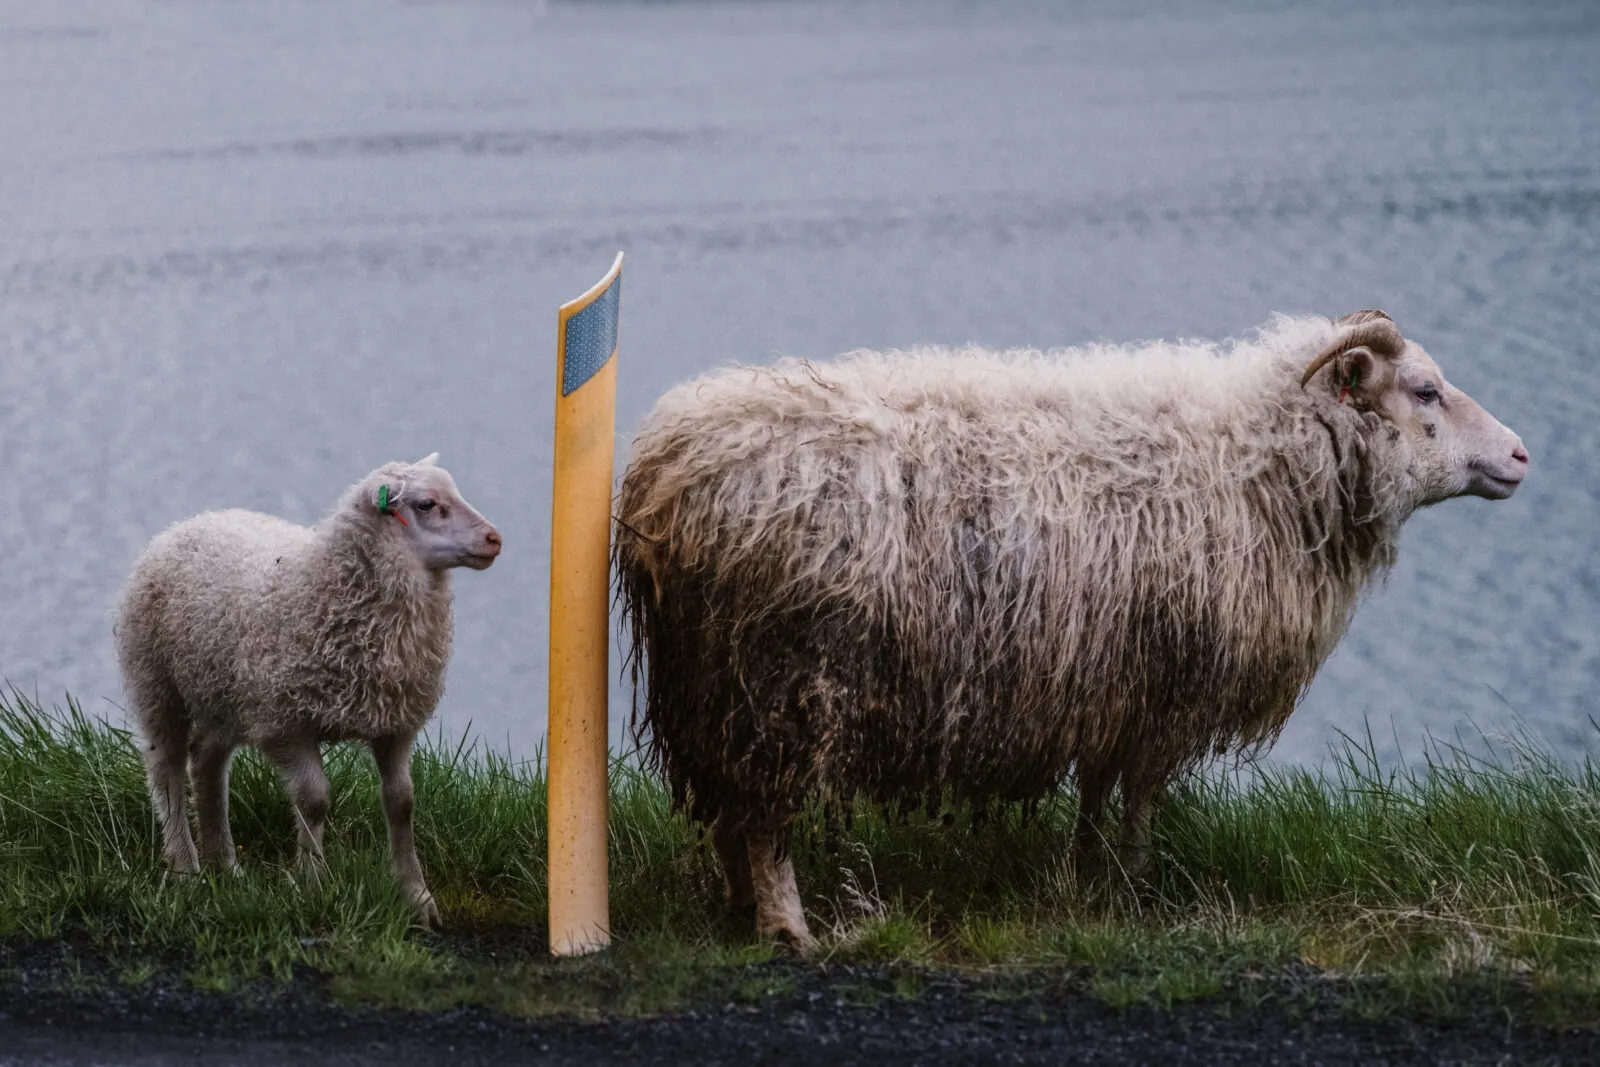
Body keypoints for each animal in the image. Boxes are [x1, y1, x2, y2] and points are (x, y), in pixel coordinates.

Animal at [115, 454, 502, 927]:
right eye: (427, 504)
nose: (494, 539)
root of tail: (192, 521)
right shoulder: (287, 723)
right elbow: (314, 801)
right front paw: (314, 885)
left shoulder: (393, 723)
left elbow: (402, 803)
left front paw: (416, 897)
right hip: (158, 685)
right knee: (166, 772)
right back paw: (186, 869)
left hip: (226, 695)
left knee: (206, 763)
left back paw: (225, 865)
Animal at [614, 311, 1529, 950]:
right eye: (1425, 391)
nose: (1522, 454)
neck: (1258, 462)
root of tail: (663, 472)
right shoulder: (1165, 689)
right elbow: (1141, 798)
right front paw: (1135, 884)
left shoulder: (1111, 684)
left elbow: (1097, 794)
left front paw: (1091, 880)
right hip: (782, 683)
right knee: (764, 821)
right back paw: (787, 929)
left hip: (715, 689)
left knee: (730, 813)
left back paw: (741, 912)